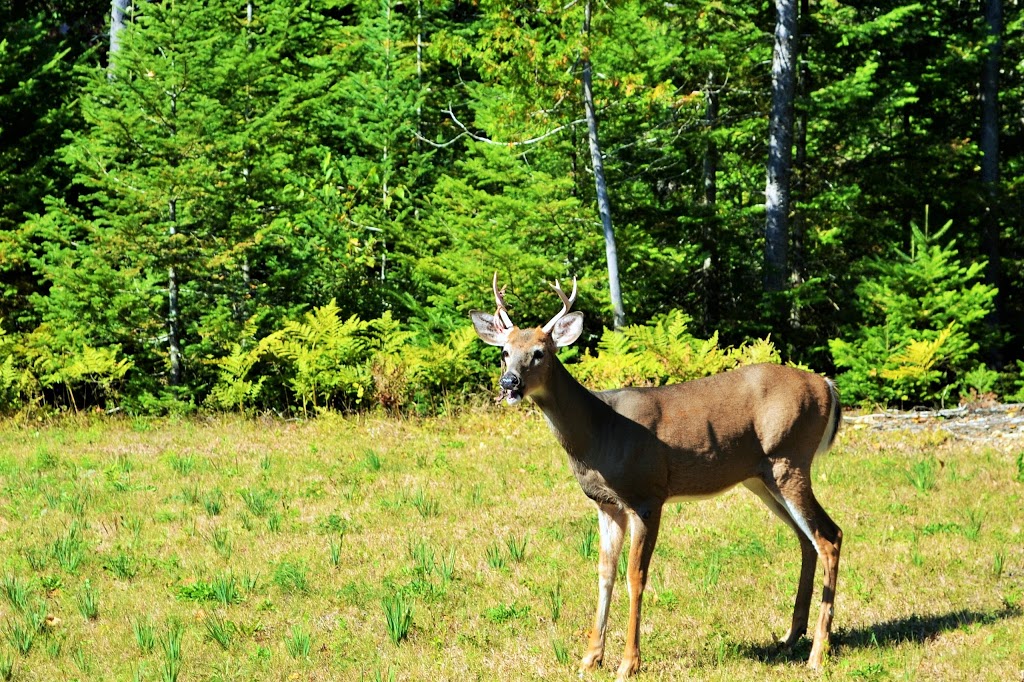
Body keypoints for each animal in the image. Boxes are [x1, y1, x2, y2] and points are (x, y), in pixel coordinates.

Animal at [468, 274, 839, 675]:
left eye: (540, 352)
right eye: (504, 352)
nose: (509, 383)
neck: (600, 431)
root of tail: (827, 386)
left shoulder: (647, 496)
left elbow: (636, 576)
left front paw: (628, 663)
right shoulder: (606, 503)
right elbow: (605, 572)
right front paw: (590, 658)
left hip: (790, 459)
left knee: (829, 535)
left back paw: (817, 653)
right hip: (761, 477)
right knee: (807, 539)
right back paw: (790, 637)